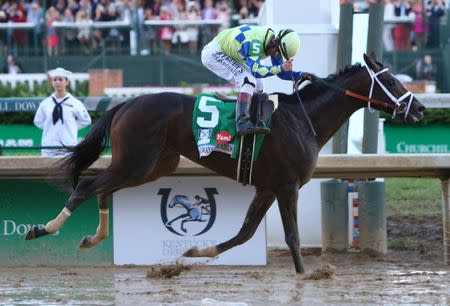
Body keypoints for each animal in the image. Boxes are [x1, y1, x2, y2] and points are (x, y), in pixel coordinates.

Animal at [24, 53, 426, 274]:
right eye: (391, 80)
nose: (420, 109)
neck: (302, 119)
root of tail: (126, 103)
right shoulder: (287, 186)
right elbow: (292, 236)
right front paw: (306, 276)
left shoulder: (267, 187)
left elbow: (245, 233)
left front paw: (195, 251)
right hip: (137, 163)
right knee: (87, 185)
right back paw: (43, 229)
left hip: (151, 166)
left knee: (102, 188)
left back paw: (93, 237)